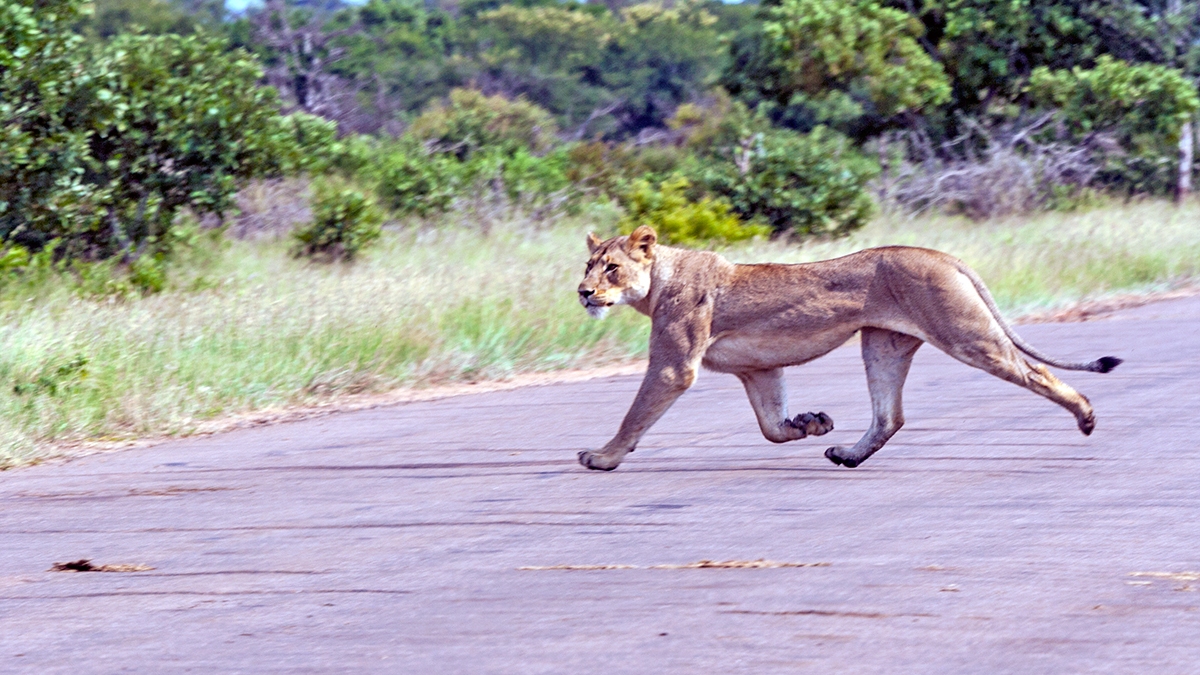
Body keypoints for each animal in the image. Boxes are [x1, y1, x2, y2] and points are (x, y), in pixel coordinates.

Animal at [575, 225, 1121, 471]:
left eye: (611, 268)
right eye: (587, 265)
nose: (583, 293)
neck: (657, 283)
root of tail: (943, 254)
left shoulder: (675, 366)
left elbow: (636, 414)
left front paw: (602, 457)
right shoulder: (758, 368)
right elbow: (770, 426)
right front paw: (809, 424)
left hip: (966, 334)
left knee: (1036, 373)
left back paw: (1086, 416)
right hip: (883, 345)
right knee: (889, 416)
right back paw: (848, 454)